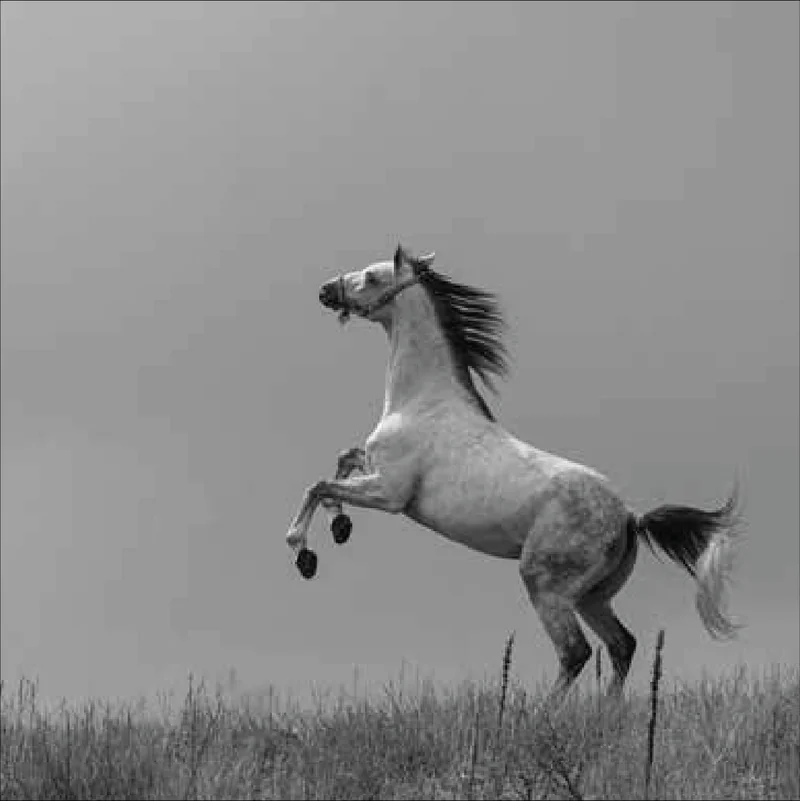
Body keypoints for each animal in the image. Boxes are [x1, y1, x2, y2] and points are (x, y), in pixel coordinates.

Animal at [285, 244, 743, 702]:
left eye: (373, 278)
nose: (326, 291)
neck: (422, 401)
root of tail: (630, 517)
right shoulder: (375, 470)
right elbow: (343, 461)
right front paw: (339, 526)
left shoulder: (390, 494)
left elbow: (319, 485)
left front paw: (304, 552)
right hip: (593, 597)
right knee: (621, 645)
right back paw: (607, 710)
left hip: (545, 584)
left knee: (576, 651)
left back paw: (541, 713)